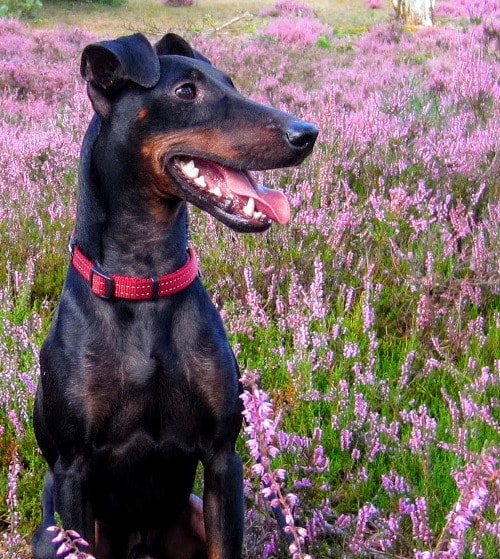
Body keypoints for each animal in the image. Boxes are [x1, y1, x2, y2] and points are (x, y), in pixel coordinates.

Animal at [32, 31, 316, 559]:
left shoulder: (223, 457)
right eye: (186, 92)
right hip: (50, 534)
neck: (146, 281)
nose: (307, 134)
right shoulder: (73, 468)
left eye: (231, 82)